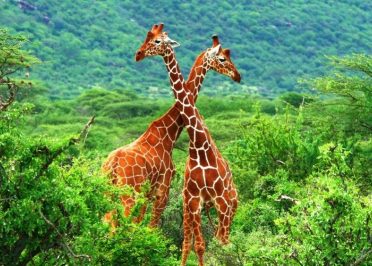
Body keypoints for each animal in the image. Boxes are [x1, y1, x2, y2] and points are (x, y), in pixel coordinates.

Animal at [102, 23, 238, 230]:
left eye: (155, 40)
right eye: (222, 58)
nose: (237, 76)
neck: (169, 132)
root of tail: (113, 164)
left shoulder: (149, 194)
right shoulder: (162, 191)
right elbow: (151, 228)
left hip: (107, 190)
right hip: (129, 193)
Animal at [135, 23, 240, 266]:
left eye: (157, 41)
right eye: (222, 58)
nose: (238, 76)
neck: (199, 146)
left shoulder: (218, 200)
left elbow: (215, 244)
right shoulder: (193, 199)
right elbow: (197, 245)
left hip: (229, 205)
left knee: (225, 240)